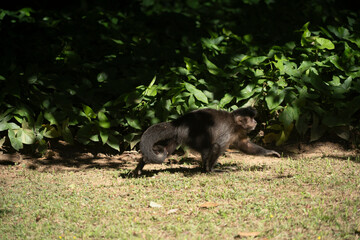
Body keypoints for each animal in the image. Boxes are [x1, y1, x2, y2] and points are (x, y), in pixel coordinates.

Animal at [133, 107, 282, 176]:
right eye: (251, 119)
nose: (255, 122)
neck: (235, 124)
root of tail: (179, 123)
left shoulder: (238, 132)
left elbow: (246, 145)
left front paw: (270, 153)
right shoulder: (229, 131)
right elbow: (217, 146)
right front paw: (211, 170)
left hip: (177, 137)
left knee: (165, 150)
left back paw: (140, 166)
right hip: (193, 134)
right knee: (206, 147)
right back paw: (206, 169)